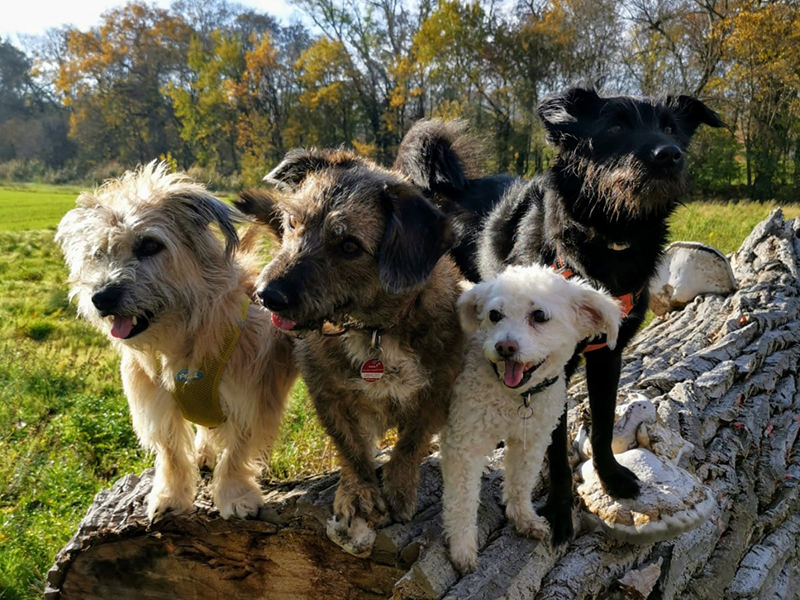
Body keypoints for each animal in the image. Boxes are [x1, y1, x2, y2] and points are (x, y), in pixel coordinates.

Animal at [57, 163, 296, 520]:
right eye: (99, 253)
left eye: (150, 245)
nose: (102, 297)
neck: (185, 339)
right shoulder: (156, 403)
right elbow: (170, 453)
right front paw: (171, 497)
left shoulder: (250, 400)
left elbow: (236, 454)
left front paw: (235, 495)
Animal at [236, 148, 462, 536]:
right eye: (292, 222)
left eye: (349, 246)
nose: (268, 295)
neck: (375, 330)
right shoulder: (329, 396)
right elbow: (351, 449)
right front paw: (359, 493)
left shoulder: (437, 393)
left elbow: (411, 444)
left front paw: (400, 487)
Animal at [398, 85, 724, 544]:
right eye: (615, 127)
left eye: (672, 128)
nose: (669, 155)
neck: (607, 242)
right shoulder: (552, 367)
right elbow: (552, 445)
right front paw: (558, 508)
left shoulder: (607, 355)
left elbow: (603, 423)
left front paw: (611, 478)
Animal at [440, 264, 620, 576]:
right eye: (493, 315)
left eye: (539, 316)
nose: (505, 347)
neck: (516, 397)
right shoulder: (463, 443)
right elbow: (462, 500)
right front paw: (462, 549)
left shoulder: (532, 439)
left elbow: (520, 481)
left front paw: (524, 518)